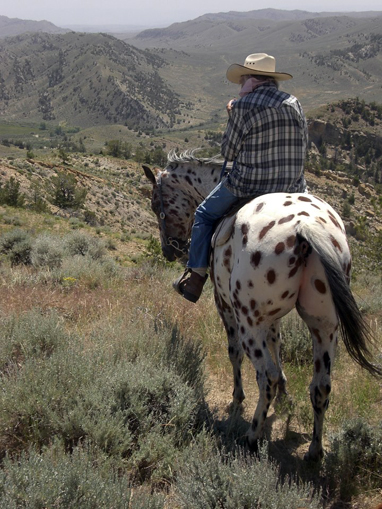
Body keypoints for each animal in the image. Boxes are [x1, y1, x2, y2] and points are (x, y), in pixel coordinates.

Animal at [143, 149, 380, 458]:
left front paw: (237, 398)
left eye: (155, 203)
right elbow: (277, 343)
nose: (169, 251)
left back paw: (252, 436)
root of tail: (305, 227)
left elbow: (234, 353)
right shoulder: (272, 316)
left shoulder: (225, 306)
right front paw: (285, 391)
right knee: (321, 386)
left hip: (249, 322)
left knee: (264, 377)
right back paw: (314, 451)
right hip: (324, 326)